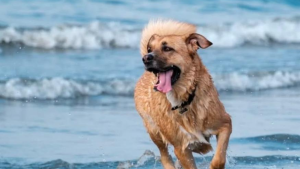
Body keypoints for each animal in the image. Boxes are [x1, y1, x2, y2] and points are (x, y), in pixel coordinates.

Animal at [134, 20, 232, 169]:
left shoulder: (225, 124)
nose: (145, 58)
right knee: (164, 155)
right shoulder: (181, 148)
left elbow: (218, 159)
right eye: (150, 49)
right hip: (154, 132)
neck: (184, 100)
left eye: (167, 48)